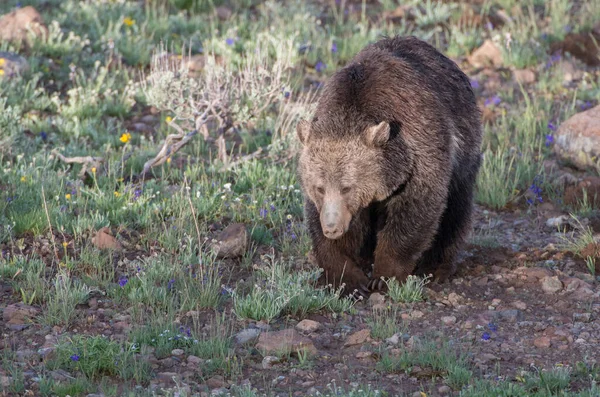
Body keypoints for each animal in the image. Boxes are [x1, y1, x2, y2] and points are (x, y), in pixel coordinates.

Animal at [296, 35, 482, 296]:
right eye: (319, 188)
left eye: (347, 187)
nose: (332, 227)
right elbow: (324, 224)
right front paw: (349, 279)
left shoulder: (419, 151)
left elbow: (414, 212)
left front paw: (384, 276)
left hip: (464, 152)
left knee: (456, 209)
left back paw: (436, 267)